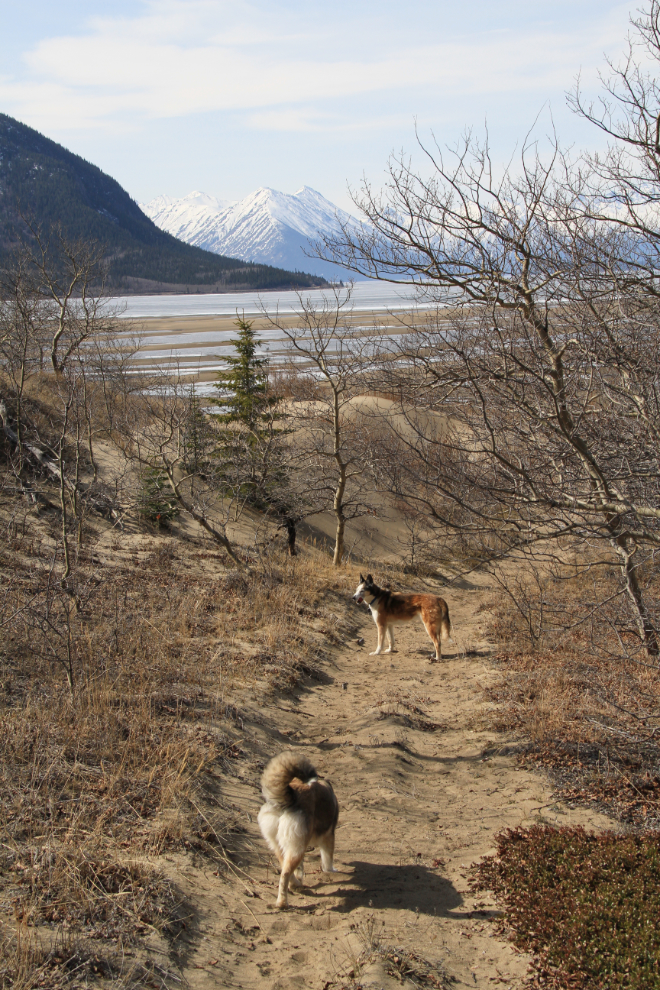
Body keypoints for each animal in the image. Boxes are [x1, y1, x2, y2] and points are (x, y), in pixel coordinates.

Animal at [258, 756, 340, 912]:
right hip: (297, 848)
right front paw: (331, 870)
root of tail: (290, 797)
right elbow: (328, 859)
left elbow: (300, 868)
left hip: (283, 846)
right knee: (284, 875)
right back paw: (282, 903)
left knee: (285, 868)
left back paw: (295, 884)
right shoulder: (329, 836)